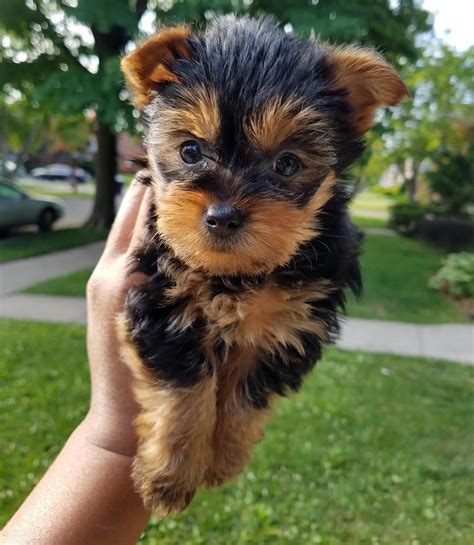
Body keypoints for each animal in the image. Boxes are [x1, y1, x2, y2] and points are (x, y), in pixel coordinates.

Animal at [117, 13, 408, 516]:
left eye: (287, 164)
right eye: (190, 151)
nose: (222, 215)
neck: (239, 274)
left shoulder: (291, 324)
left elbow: (245, 395)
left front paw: (223, 460)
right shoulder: (161, 300)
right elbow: (185, 392)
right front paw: (170, 477)